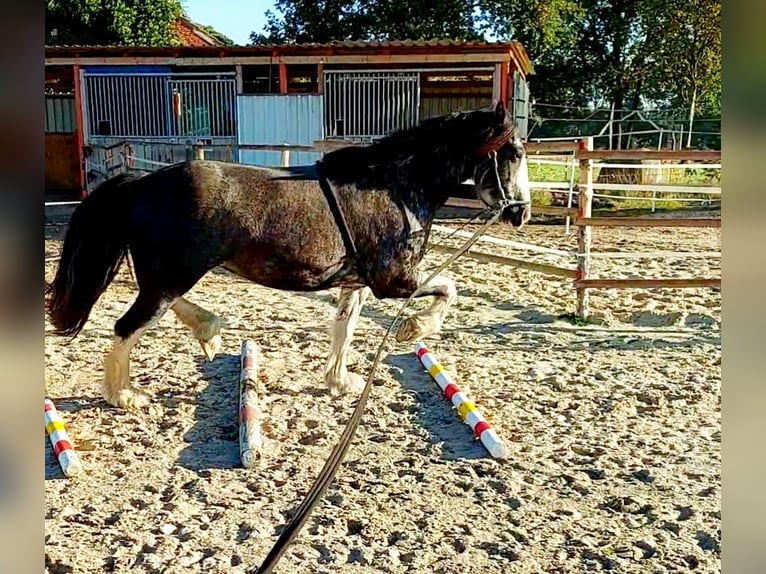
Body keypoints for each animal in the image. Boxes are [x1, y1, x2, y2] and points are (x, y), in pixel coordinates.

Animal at [45, 100, 531, 410]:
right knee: (127, 326)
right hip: (171, 276)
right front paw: (413, 328)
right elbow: (449, 288)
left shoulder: (357, 281)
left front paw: (339, 381)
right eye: (513, 153)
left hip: (171, 275)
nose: (521, 212)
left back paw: (208, 331)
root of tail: (140, 182)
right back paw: (124, 395)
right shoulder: (395, 279)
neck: (391, 186)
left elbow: (345, 329)